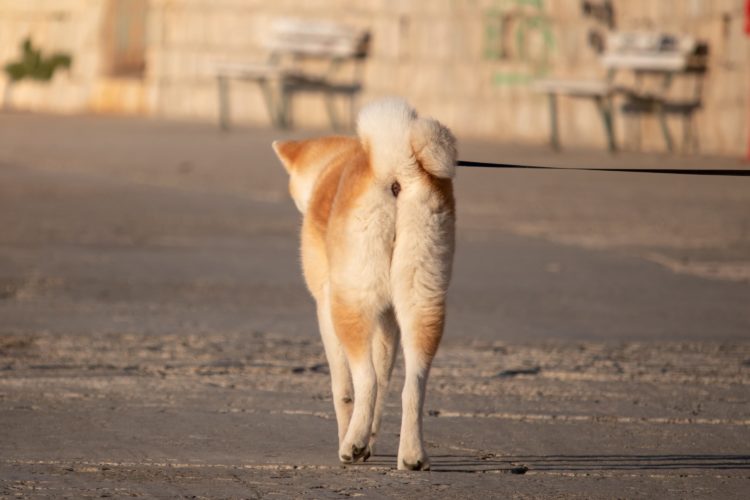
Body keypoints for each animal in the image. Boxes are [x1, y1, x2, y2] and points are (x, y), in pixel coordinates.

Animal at [274, 96, 456, 468]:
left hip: (351, 303)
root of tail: (397, 167)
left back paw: (352, 444)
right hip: (422, 302)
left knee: (365, 379)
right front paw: (371, 437)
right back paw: (412, 455)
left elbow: (345, 389)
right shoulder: (387, 316)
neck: (331, 168)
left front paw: (355, 437)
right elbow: (385, 378)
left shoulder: (326, 307)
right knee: (412, 385)